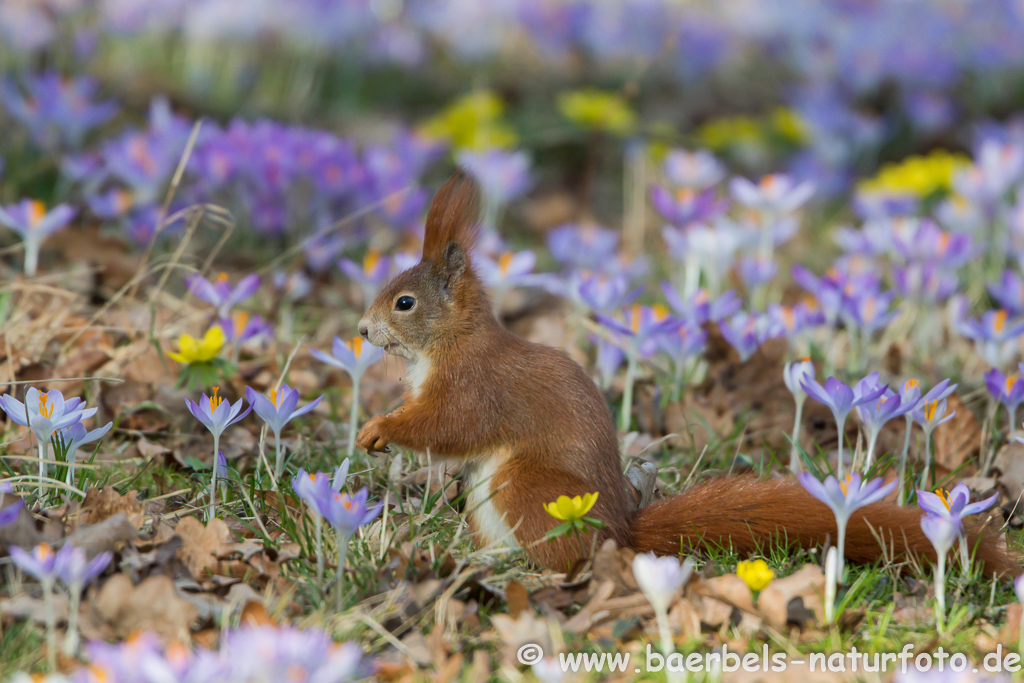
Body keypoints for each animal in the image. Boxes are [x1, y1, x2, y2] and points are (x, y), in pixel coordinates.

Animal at [354, 171, 1015, 577]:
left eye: (404, 303)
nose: (361, 330)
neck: (450, 342)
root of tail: (618, 535)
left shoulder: (477, 385)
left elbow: (450, 425)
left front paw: (378, 428)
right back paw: (484, 562)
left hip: (529, 486)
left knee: (566, 558)